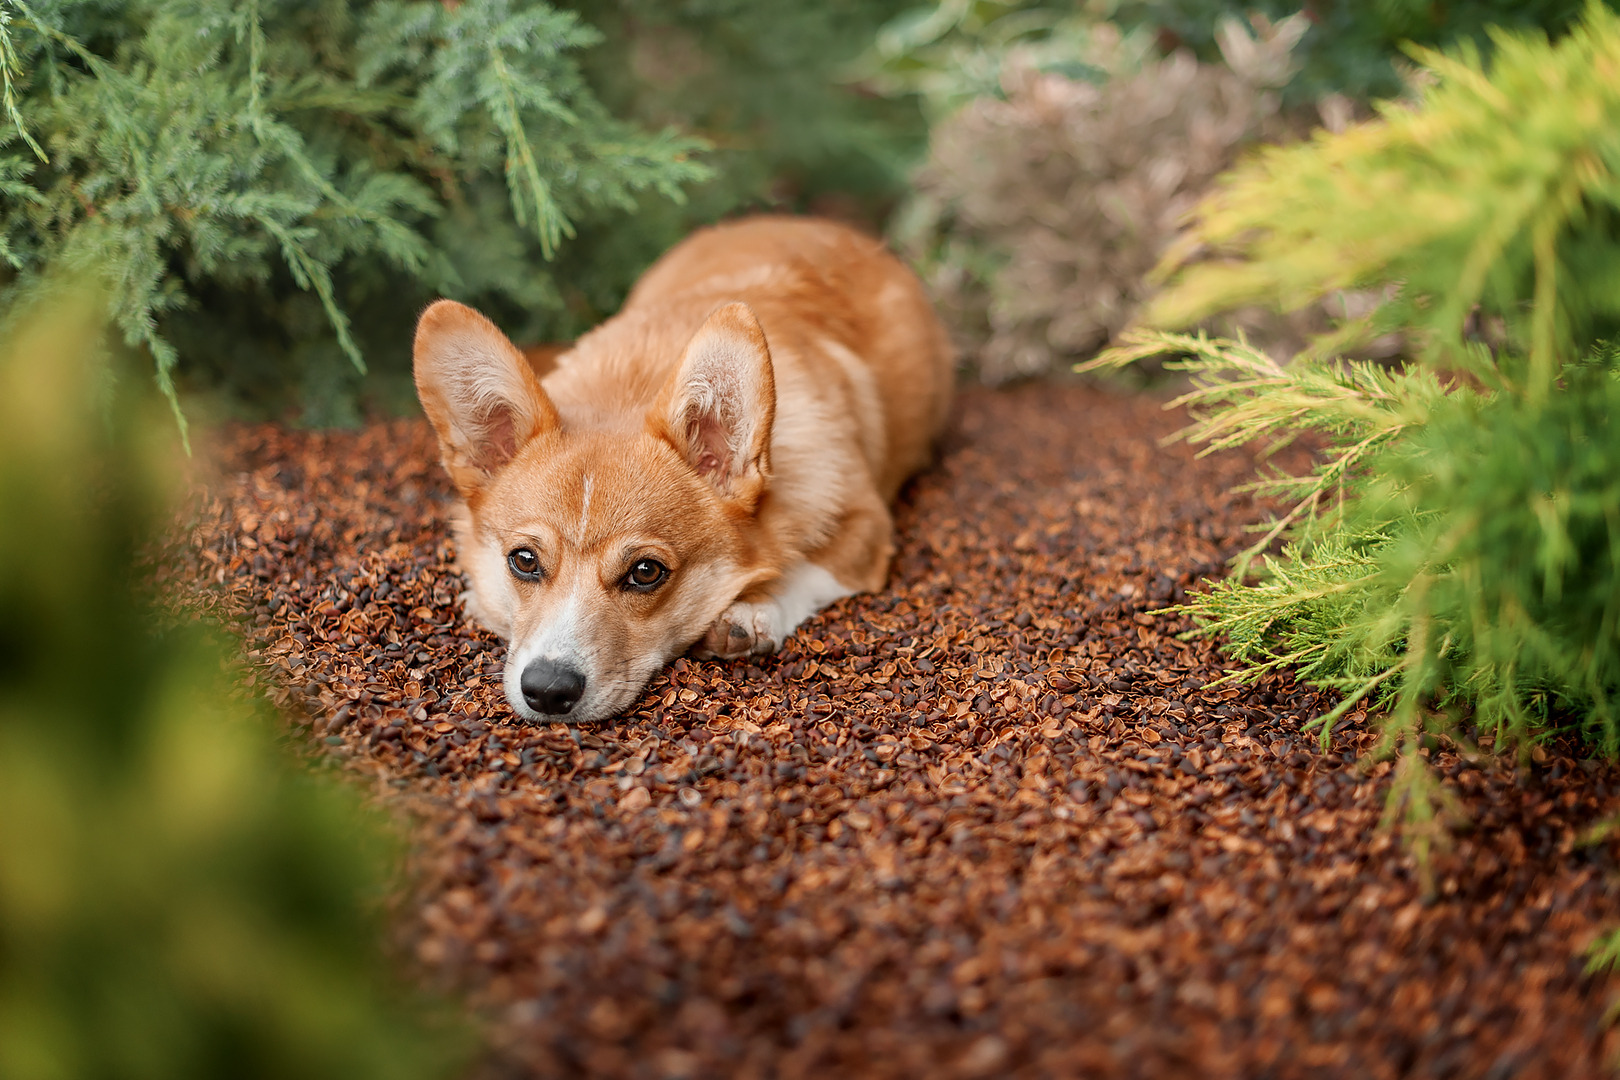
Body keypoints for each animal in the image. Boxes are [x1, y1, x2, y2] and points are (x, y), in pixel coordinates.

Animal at [411, 216, 952, 725]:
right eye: (523, 560)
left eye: (646, 572)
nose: (546, 690)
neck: (628, 389)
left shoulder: (867, 525)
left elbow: (805, 569)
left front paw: (752, 611)